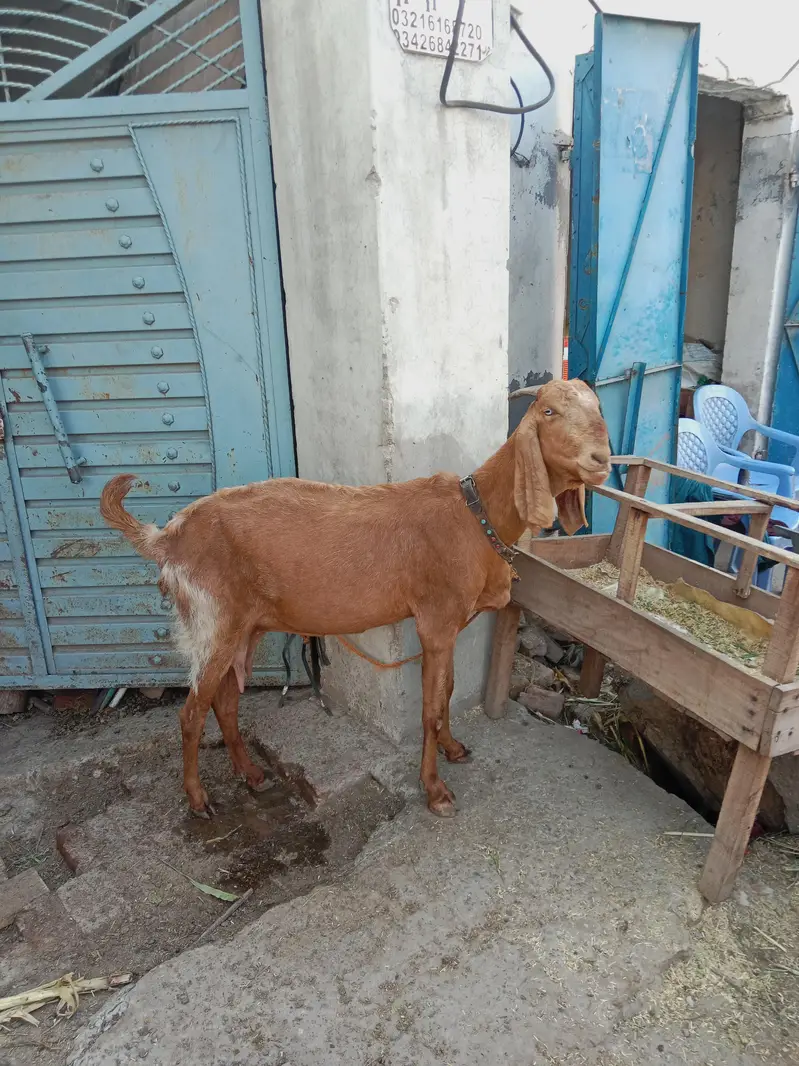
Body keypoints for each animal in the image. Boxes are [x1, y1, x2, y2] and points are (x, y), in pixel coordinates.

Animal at [100, 378, 610, 818]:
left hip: (243, 627)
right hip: (212, 624)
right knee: (191, 713)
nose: (601, 458)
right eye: (548, 412)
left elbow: (446, 692)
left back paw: (252, 775)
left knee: (225, 702)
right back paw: (198, 799)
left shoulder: (447, 625)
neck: (474, 513)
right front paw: (435, 790)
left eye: (599, 408)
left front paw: (453, 748)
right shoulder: (435, 622)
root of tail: (169, 538)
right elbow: (429, 708)